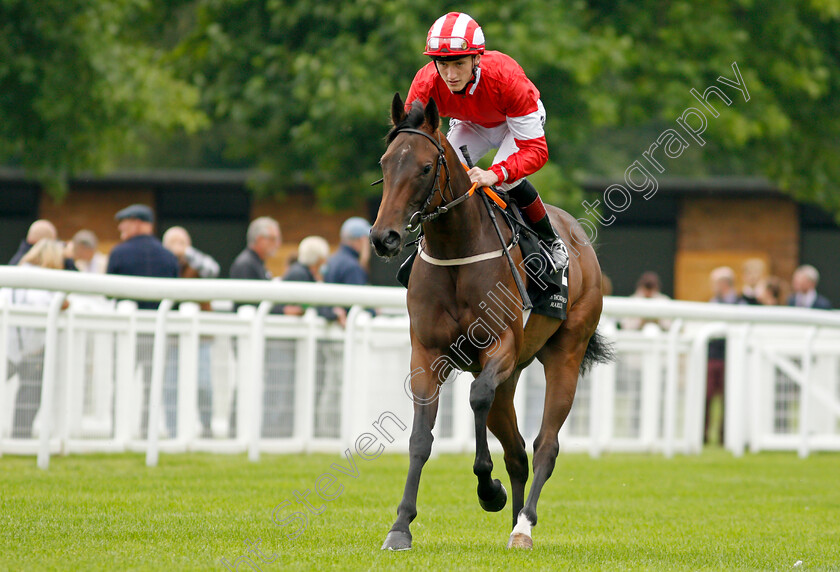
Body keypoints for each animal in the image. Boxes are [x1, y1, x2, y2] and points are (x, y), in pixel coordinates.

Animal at [370, 94, 612, 548]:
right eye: (385, 162)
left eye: (425, 168)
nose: (384, 238)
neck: (456, 250)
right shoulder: (426, 354)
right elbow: (420, 438)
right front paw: (400, 526)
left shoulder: (500, 345)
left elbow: (477, 397)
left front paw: (488, 489)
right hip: (512, 376)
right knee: (516, 451)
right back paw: (515, 517)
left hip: (564, 354)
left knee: (545, 445)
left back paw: (524, 524)